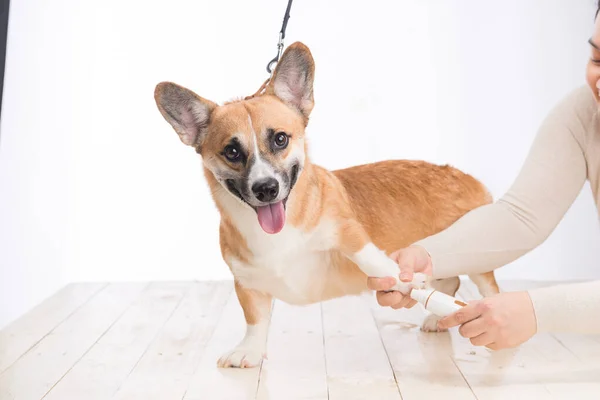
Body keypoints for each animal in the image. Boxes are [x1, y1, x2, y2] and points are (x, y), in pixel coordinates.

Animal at [152, 41, 500, 368]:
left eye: (280, 139)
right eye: (232, 152)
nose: (266, 188)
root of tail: (466, 176)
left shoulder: (347, 232)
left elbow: (373, 260)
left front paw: (405, 278)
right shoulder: (246, 282)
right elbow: (255, 319)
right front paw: (248, 351)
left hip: (479, 258)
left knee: (488, 289)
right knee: (451, 280)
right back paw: (439, 317)